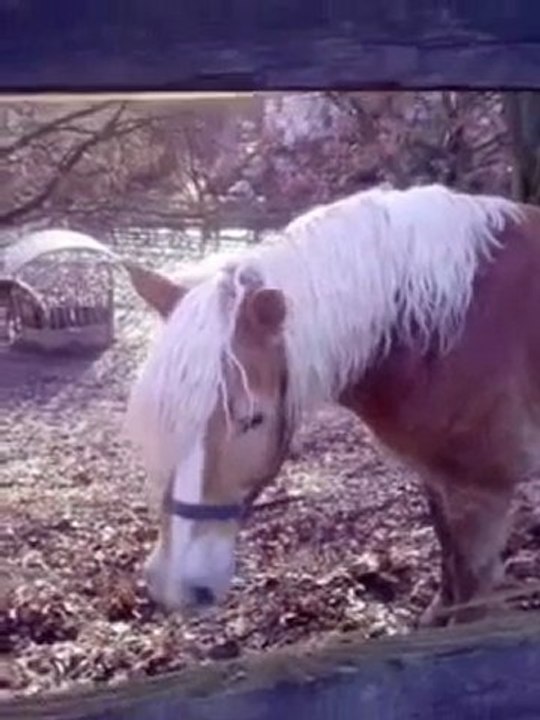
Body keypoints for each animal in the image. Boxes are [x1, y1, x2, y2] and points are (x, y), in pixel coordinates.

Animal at [124, 183, 540, 626]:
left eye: (254, 419)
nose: (176, 585)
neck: (450, 331)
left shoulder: (483, 496)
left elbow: (472, 595)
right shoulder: (437, 478)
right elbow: (449, 556)